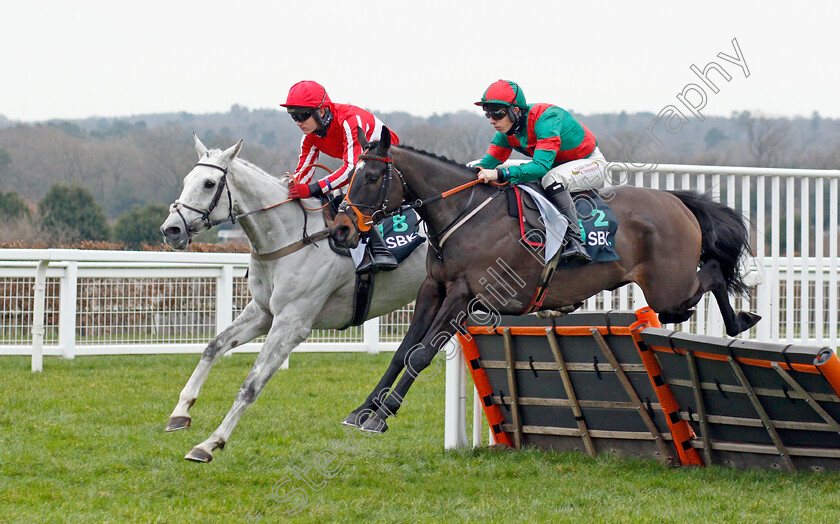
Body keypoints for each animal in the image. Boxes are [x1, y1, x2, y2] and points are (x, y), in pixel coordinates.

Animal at [330, 128, 760, 434]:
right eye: (350, 177)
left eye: (372, 176)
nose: (340, 230)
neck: (464, 214)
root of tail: (677, 201)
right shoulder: (433, 289)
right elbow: (403, 351)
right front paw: (363, 409)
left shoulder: (466, 296)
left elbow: (420, 354)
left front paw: (382, 415)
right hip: (668, 296)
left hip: (669, 289)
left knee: (713, 273)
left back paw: (741, 320)